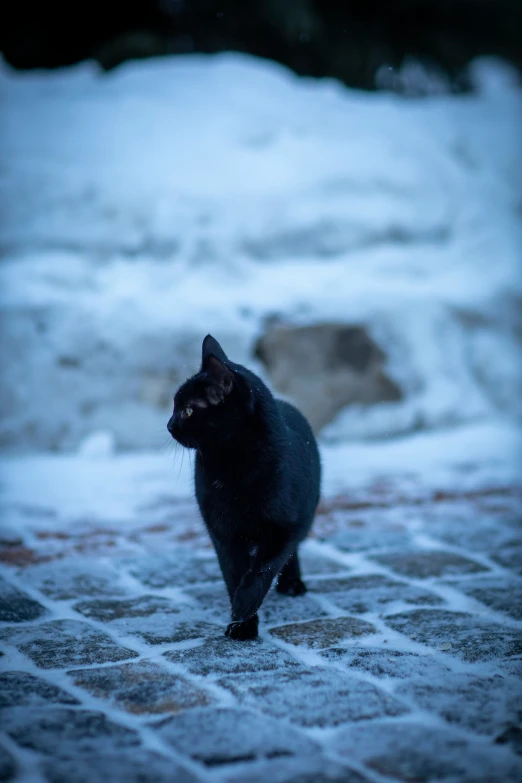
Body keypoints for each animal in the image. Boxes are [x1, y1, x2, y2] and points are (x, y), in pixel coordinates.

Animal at [169, 334, 318, 640]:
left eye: (188, 410)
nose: (169, 425)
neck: (232, 469)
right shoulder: (223, 533)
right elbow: (234, 574)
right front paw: (242, 623)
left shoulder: (284, 527)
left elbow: (263, 569)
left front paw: (244, 606)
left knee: (290, 553)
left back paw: (292, 584)